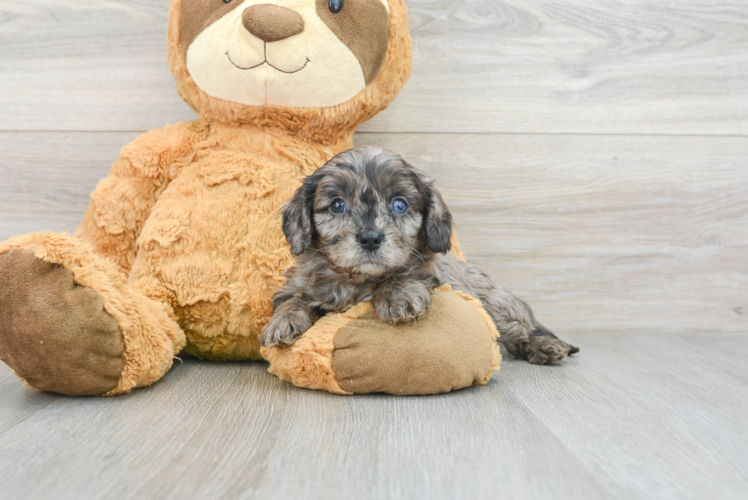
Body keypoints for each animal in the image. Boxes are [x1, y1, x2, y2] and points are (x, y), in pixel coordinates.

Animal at [258, 145, 580, 364]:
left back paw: (545, 346)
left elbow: (408, 272)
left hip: (499, 306)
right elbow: (291, 299)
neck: (358, 279)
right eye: (337, 205)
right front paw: (282, 323)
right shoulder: (297, 283)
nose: (371, 238)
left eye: (400, 205)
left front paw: (397, 296)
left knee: (521, 331)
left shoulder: (430, 272)